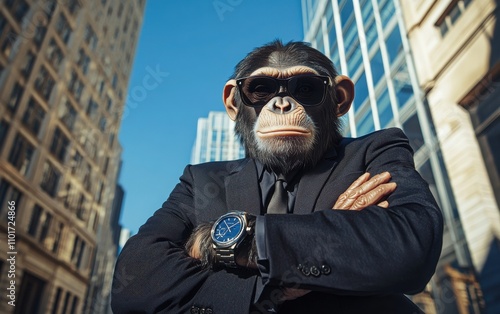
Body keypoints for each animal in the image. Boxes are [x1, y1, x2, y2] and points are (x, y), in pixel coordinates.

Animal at [112, 40, 442, 312]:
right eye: (260, 88)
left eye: (306, 87)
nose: (281, 103)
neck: (283, 172)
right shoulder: (185, 184)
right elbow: (144, 253)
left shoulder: (392, 145)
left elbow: (409, 219)